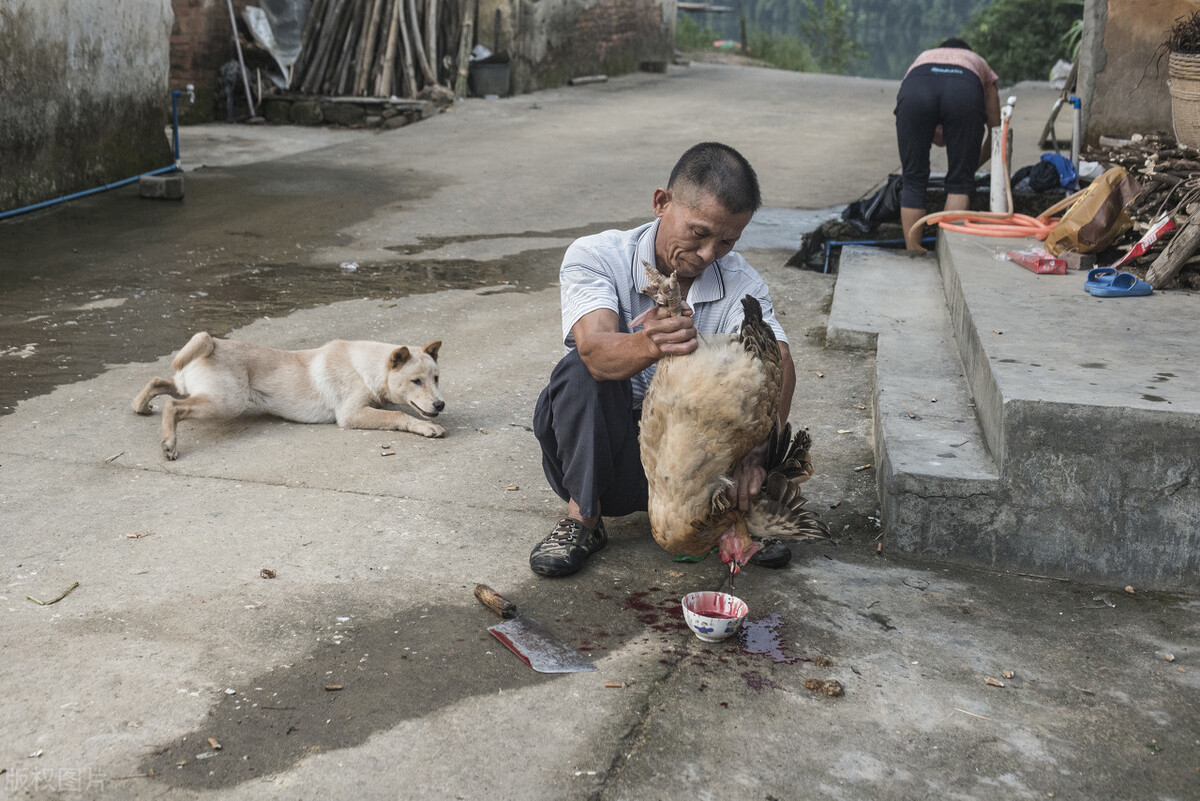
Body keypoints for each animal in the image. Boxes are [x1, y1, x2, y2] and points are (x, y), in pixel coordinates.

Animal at [131, 330, 448, 455]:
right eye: (416, 381)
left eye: (436, 378)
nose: (440, 405)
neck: (365, 366)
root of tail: (213, 343)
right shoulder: (351, 414)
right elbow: (398, 414)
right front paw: (426, 426)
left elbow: (397, 409)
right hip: (226, 403)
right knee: (173, 405)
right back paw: (169, 442)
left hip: (200, 390)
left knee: (160, 381)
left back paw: (140, 404)